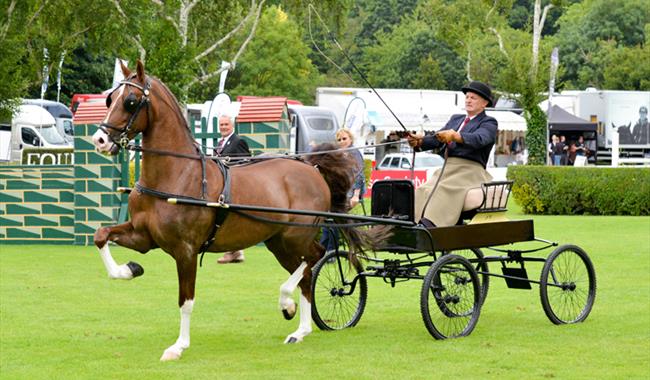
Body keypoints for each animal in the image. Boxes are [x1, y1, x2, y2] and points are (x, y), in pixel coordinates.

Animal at [90, 59, 368, 360]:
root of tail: (311, 166)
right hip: (278, 242)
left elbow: (186, 300)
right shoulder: (144, 237)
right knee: (306, 273)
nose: (100, 140)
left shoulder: (186, 250)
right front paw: (129, 269)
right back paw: (300, 329)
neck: (176, 175)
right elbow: (101, 235)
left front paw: (178, 346)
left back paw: (287, 304)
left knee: (316, 257)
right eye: (109, 98)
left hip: (296, 236)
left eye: (130, 101)